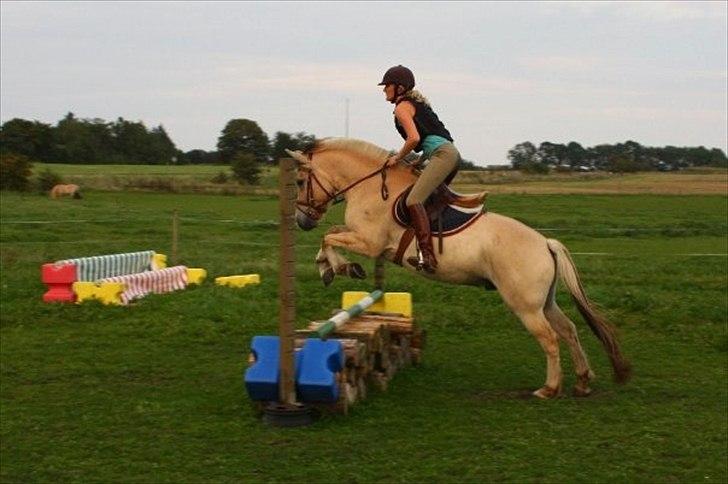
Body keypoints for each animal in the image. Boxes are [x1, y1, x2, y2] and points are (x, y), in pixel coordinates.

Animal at [286, 138, 632, 398]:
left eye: (301, 181)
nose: (302, 221)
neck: (371, 187)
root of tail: (545, 243)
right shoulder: (365, 240)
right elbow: (330, 235)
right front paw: (331, 268)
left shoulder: (370, 243)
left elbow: (329, 236)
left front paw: (339, 268)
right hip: (544, 302)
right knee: (569, 330)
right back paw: (583, 382)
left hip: (525, 305)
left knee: (549, 338)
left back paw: (549, 389)